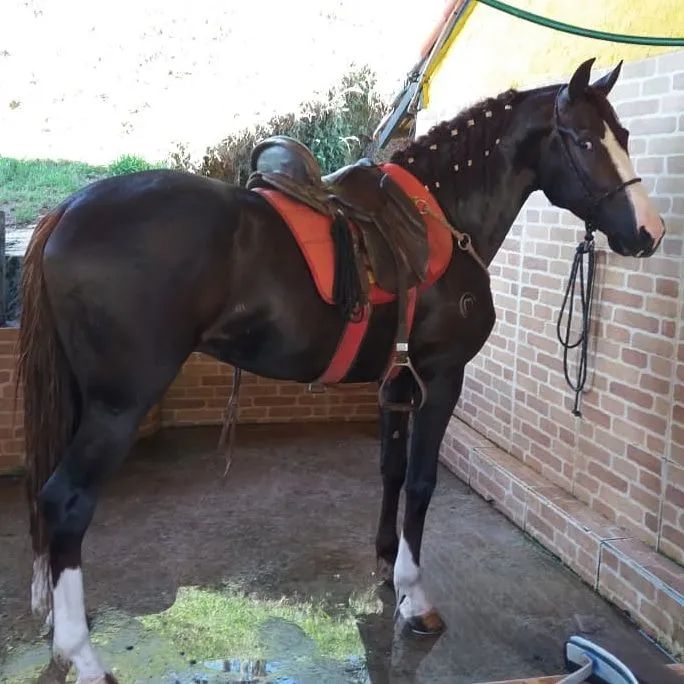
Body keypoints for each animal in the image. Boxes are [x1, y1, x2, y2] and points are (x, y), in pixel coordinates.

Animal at [18, 57, 665, 682]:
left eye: (626, 135)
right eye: (584, 140)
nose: (649, 233)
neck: (443, 217)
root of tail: (67, 209)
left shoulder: (399, 379)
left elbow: (391, 470)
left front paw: (386, 564)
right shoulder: (441, 376)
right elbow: (422, 482)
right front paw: (414, 597)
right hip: (118, 406)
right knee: (65, 501)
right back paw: (82, 656)